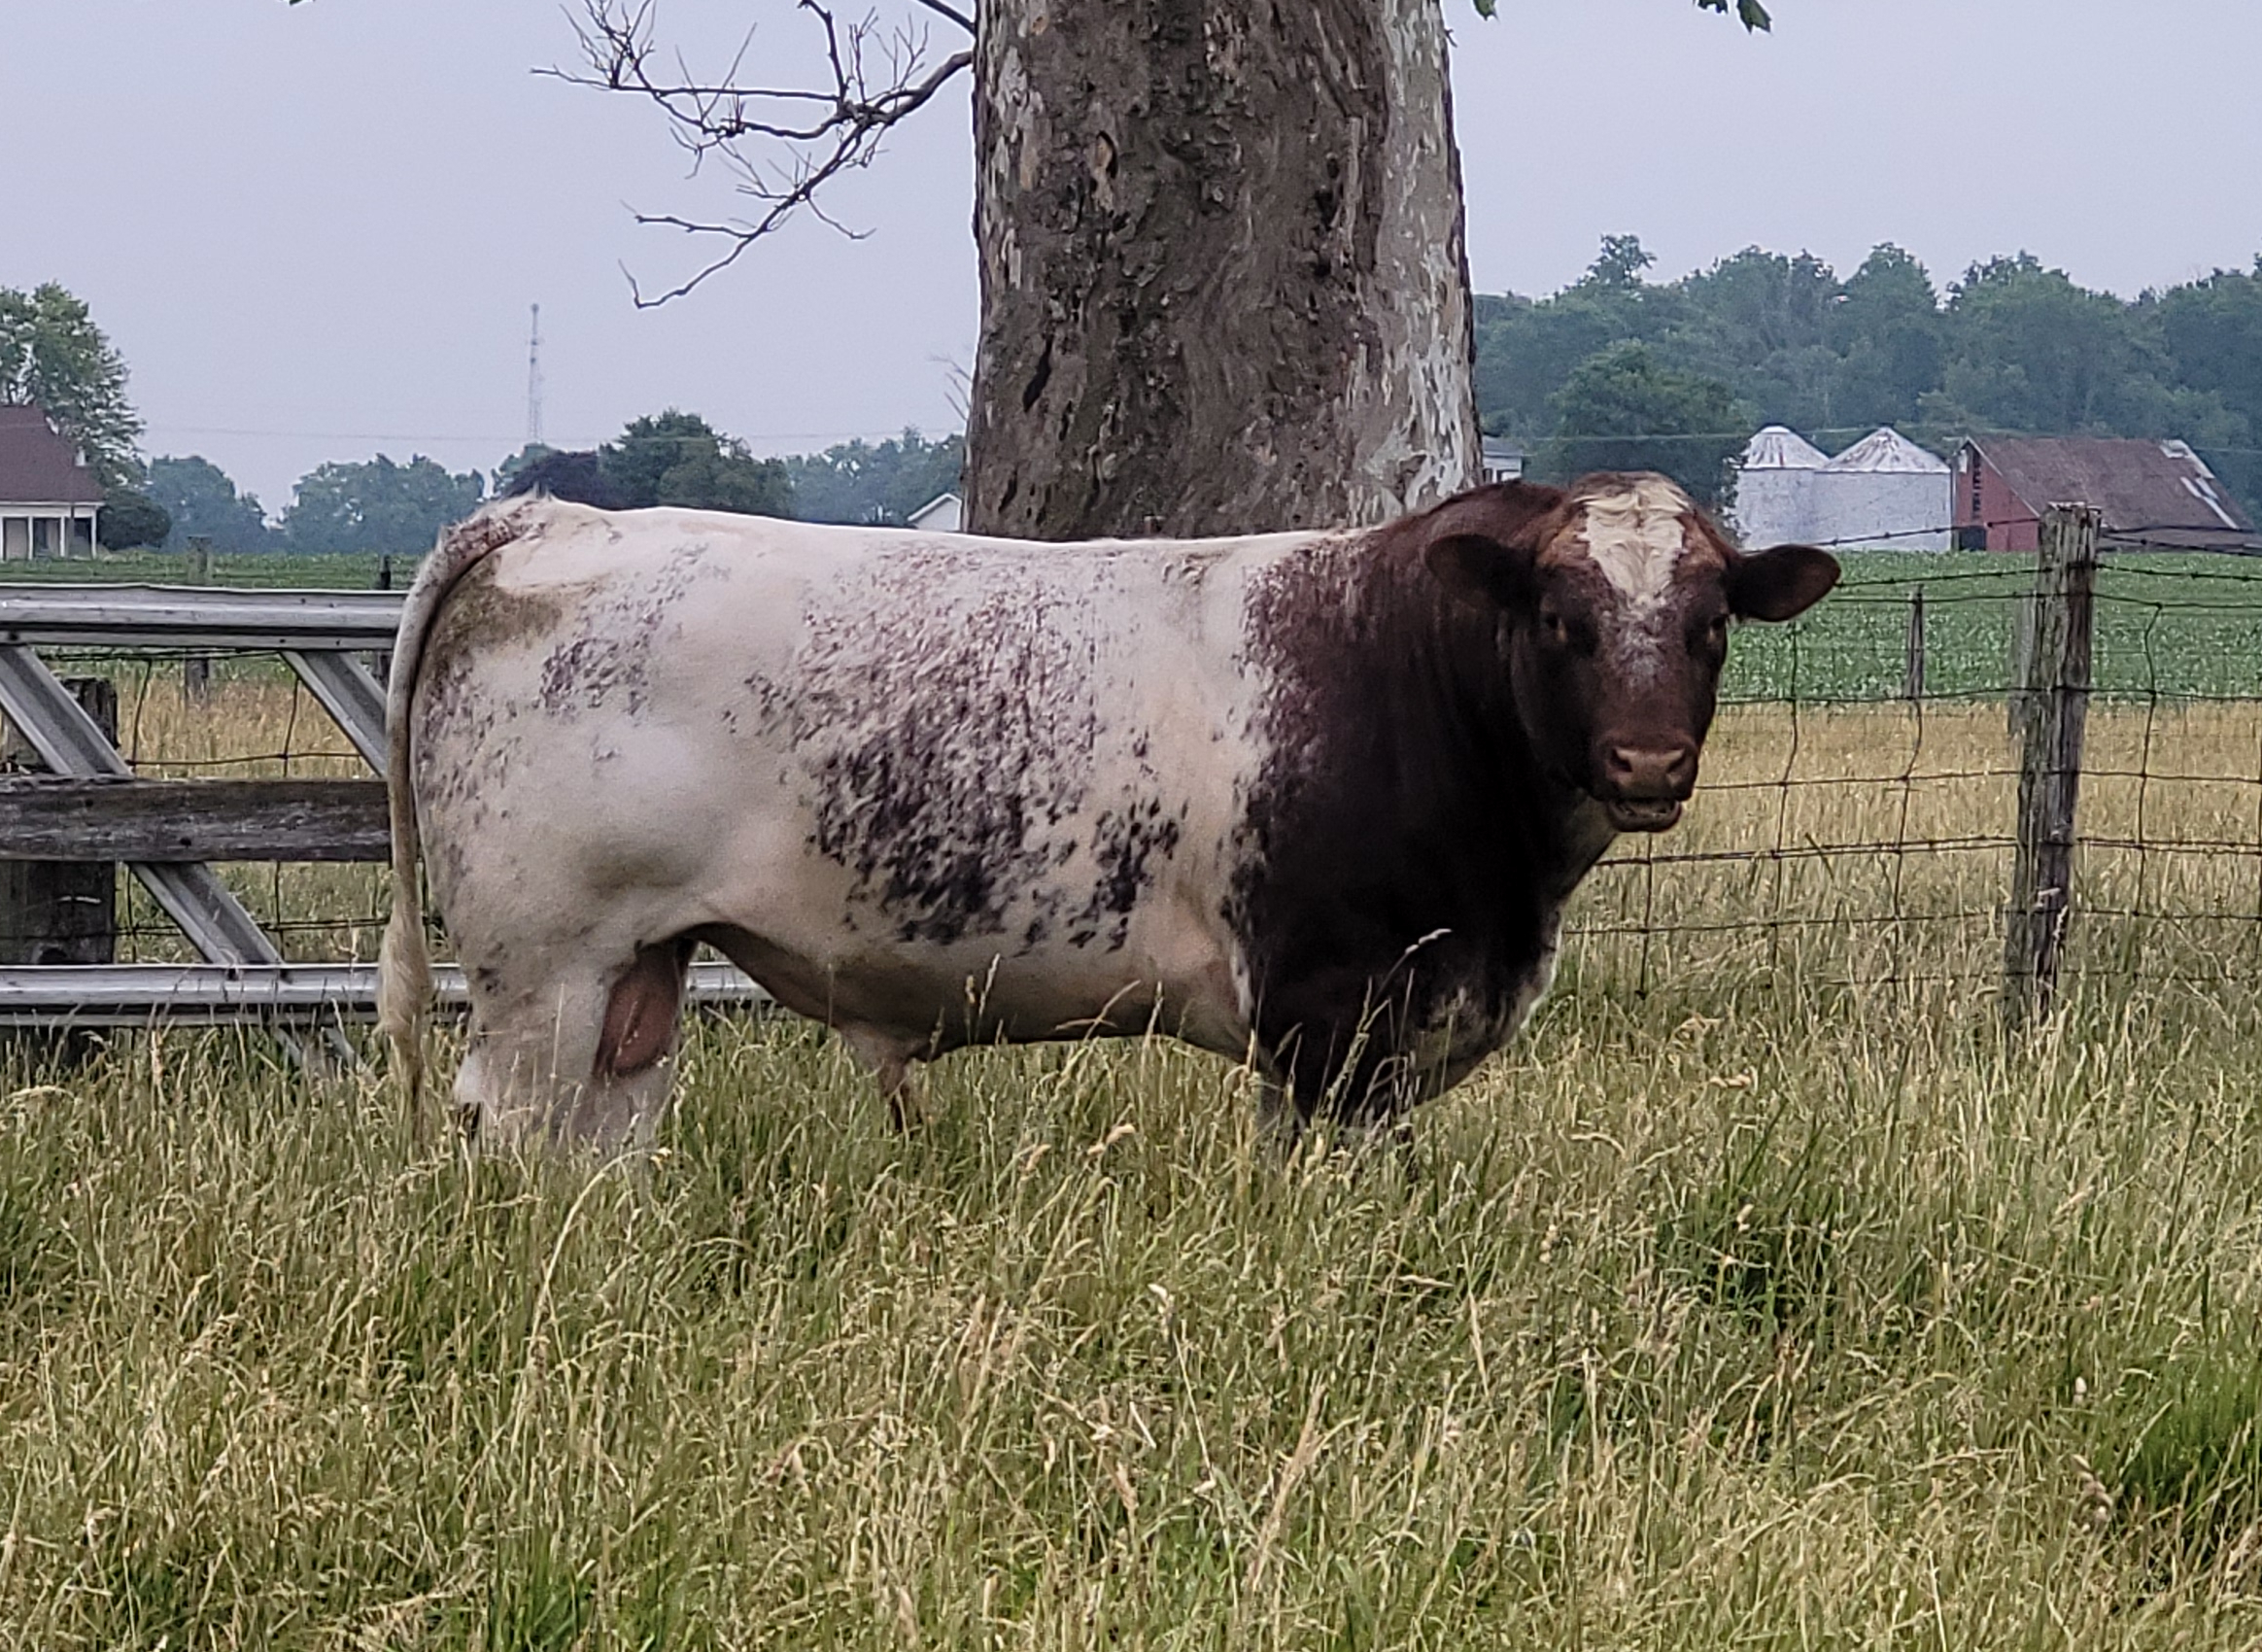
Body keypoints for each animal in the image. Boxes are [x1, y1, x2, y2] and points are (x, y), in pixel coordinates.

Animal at [380, 472, 1836, 1145]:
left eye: (1709, 625)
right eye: (1559, 619)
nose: (1646, 762)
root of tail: (554, 518)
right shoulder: (1329, 1018)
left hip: (635, 970)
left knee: (600, 1135)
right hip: (545, 962)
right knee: (514, 1128)